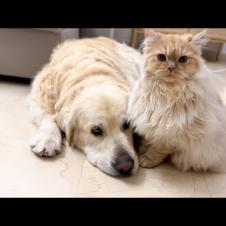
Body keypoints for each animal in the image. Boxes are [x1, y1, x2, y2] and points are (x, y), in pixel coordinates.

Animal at [27, 36, 142, 177]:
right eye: (96, 130)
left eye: (127, 124)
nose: (125, 166)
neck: (90, 74)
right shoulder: (39, 93)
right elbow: (47, 116)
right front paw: (47, 140)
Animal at [128, 29, 226, 172]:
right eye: (161, 57)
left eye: (183, 59)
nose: (171, 68)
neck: (165, 93)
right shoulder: (149, 122)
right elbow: (148, 140)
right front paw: (141, 149)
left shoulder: (172, 134)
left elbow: (157, 150)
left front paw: (147, 160)